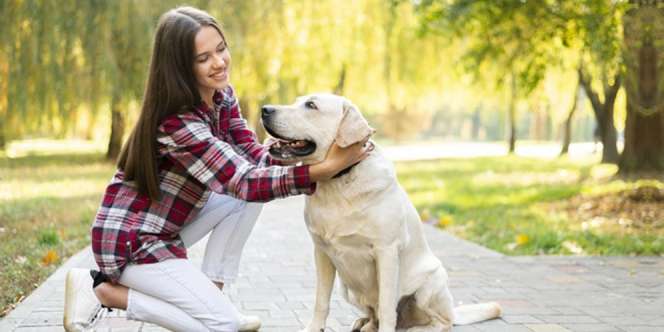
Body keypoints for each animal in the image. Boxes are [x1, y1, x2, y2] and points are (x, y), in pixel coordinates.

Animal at [262, 94, 500, 332]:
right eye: (297, 101)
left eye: (311, 105)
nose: (265, 109)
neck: (339, 181)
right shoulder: (321, 250)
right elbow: (321, 300)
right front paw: (314, 327)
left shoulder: (386, 251)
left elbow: (387, 305)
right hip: (346, 288)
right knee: (374, 314)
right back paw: (364, 324)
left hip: (431, 282)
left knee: (441, 322)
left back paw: (416, 328)